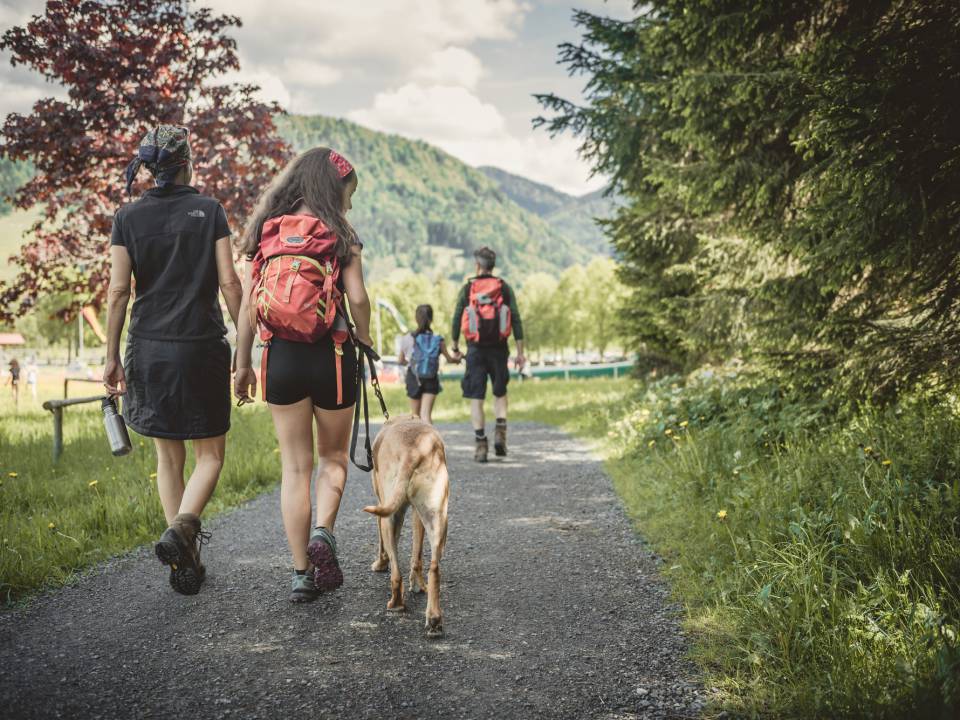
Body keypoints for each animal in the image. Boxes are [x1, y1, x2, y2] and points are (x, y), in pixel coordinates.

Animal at [364, 416, 450, 636]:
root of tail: (414, 450)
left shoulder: (382, 508)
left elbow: (382, 547)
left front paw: (380, 564)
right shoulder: (417, 515)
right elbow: (416, 556)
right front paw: (417, 584)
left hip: (390, 518)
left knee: (396, 574)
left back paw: (396, 604)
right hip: (437, 518)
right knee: (434, 568)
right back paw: (434, 618)